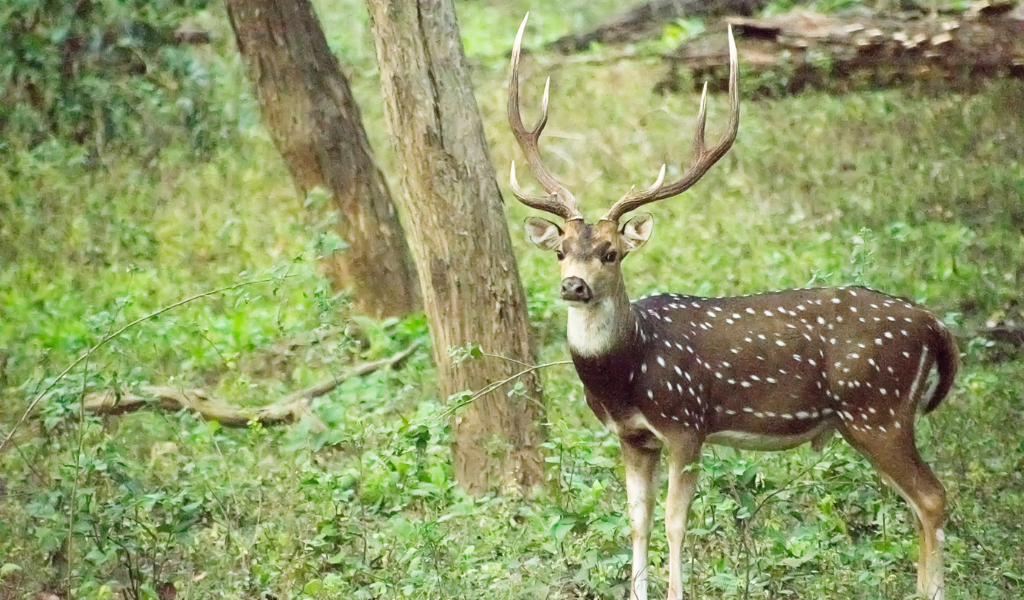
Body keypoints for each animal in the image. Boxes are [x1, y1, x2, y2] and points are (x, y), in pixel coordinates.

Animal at [507, 14, 958, 600]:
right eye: (561, 250)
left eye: (611, 252)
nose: (574, 286)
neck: (627, 371)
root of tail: (934, 323)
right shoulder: (633, 437)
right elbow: (637, 520)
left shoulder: (686, 423)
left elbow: (675, 523)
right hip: (877, 414)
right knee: (920, 502)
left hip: (877, 407)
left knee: (932, 496)